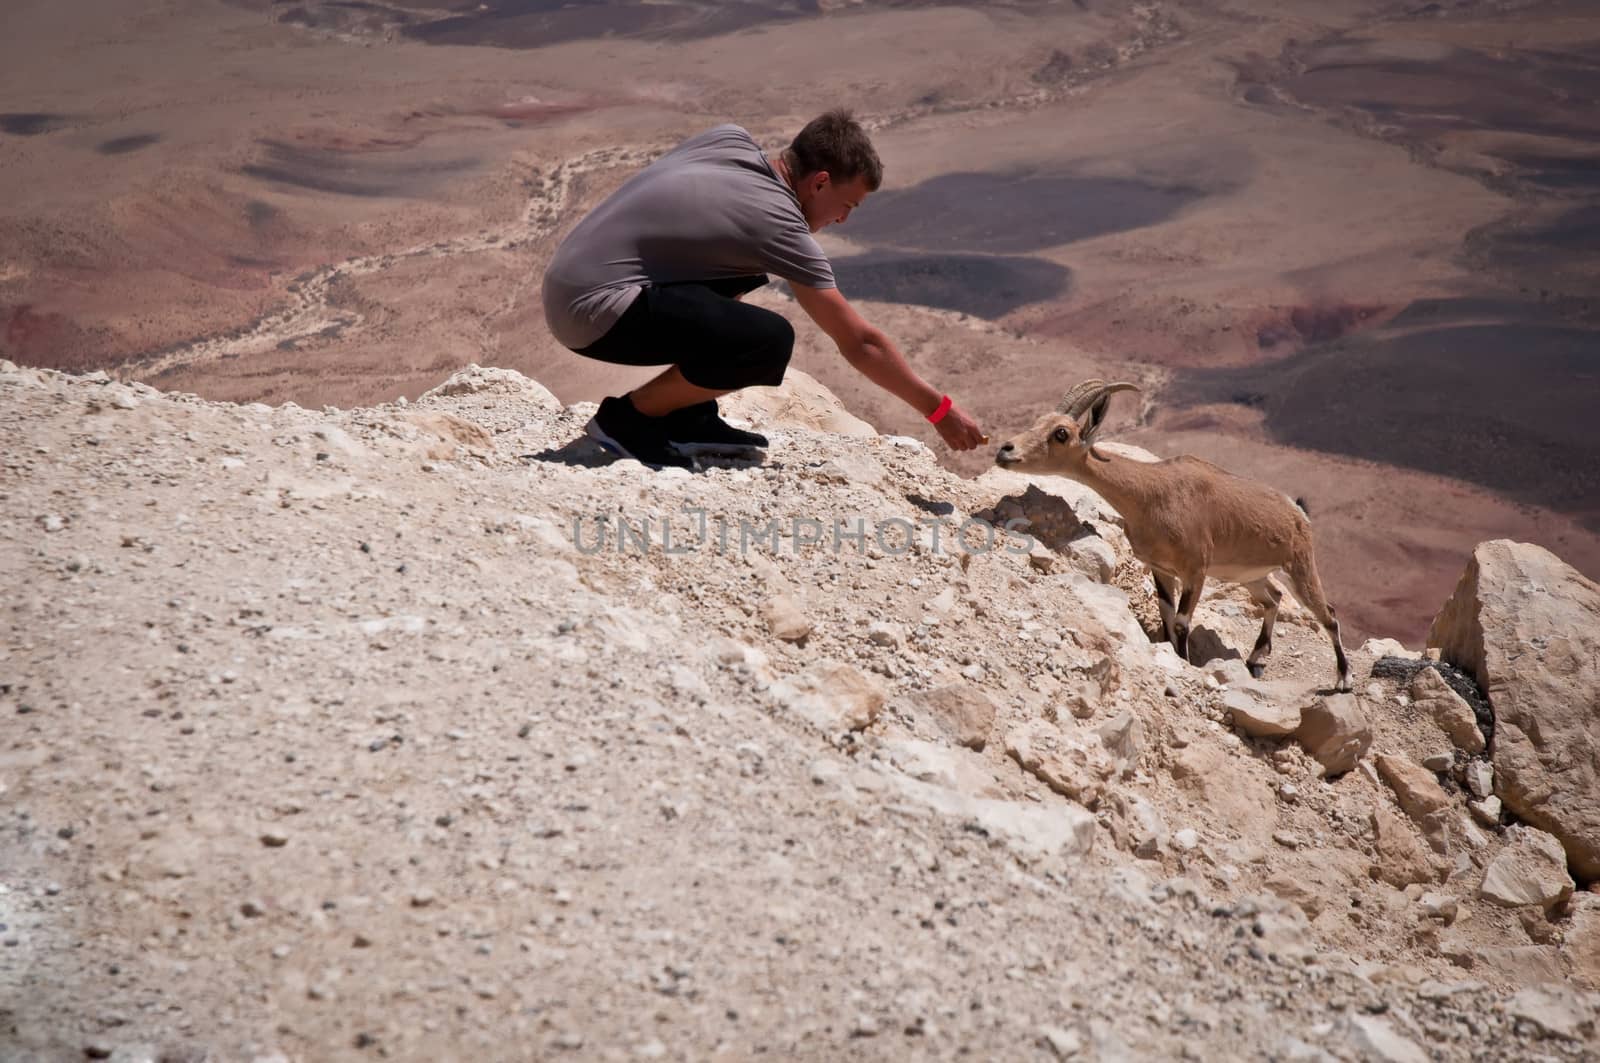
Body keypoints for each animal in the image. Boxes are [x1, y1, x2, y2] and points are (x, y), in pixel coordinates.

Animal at [998, 377, 1350, 694]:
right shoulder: (1161, 568)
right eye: (1038, 421)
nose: (1005, 450)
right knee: (1274, 598)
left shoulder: (1196, 568)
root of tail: (1298, 511)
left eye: (1061, 433)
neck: (1150, 493)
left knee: (1328, 614)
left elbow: (1181, 621)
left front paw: (1185, 663)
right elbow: (1166, 611)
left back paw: (1343, 679)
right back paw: (1256, 660)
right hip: (1250, 573)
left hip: (1300, 565)